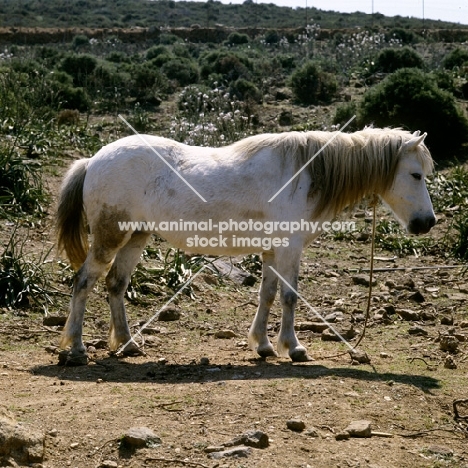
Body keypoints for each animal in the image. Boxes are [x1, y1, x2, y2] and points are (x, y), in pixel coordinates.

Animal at [57, 128, 436, 366]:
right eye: (416, 175)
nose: (427, 223)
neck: (305, 175)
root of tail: (93, 160)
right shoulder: (289, 248)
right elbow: (289, 296)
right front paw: (293, 347)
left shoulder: (271, 251)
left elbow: (266, 295)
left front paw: (264, 346)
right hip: (109, 238)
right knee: (84, 283)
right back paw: (76, 349)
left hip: (135, 237)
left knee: (115, 285)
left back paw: (128, 343)